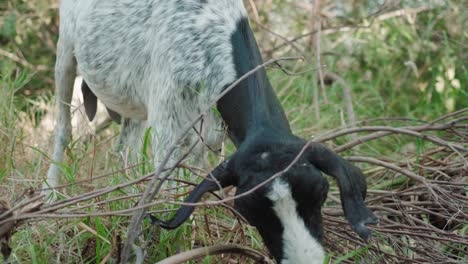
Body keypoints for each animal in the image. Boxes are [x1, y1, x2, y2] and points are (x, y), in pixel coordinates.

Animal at [47, 1, 376, 262]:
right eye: (249, 210)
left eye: (320, 193)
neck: (210, 29)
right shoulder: (167, 127)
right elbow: (167, 192)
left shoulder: (210, 137)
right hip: (66, 55)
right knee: (63, 130)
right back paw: (49, 196)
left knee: (124, 150)